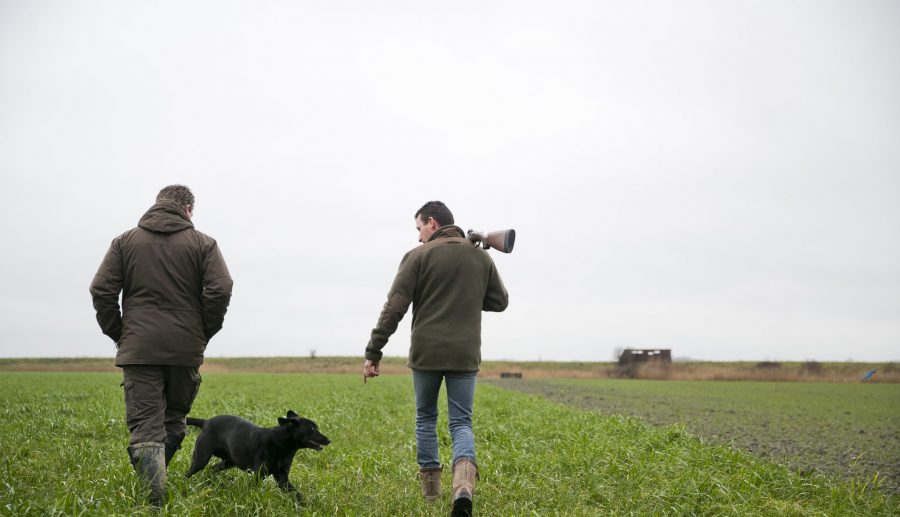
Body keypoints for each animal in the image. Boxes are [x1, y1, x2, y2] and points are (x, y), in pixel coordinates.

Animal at [185, 412, 330, 492]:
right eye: (313, 428)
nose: (329, 440)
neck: (284, 446)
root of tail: (206, 422)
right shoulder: (258, 474)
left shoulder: (282, 478)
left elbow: (297, 496)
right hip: (201, 459)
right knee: (188, 474)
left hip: (228, 462)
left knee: (212, 468)